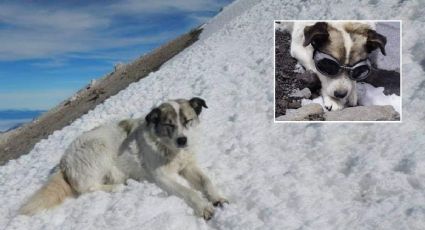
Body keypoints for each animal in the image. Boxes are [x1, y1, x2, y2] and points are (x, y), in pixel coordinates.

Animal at [20, 97, 225, 219]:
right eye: (169, 124)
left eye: (187, 121)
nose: (182, 140)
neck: (168, 147)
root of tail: (64, 161)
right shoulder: (162, 177)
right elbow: (188, 191)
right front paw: (203, 206)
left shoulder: (188, 166)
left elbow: (206, 180)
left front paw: (217, 197)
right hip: (98, 148)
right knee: (87, 188)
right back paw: (117, 187)